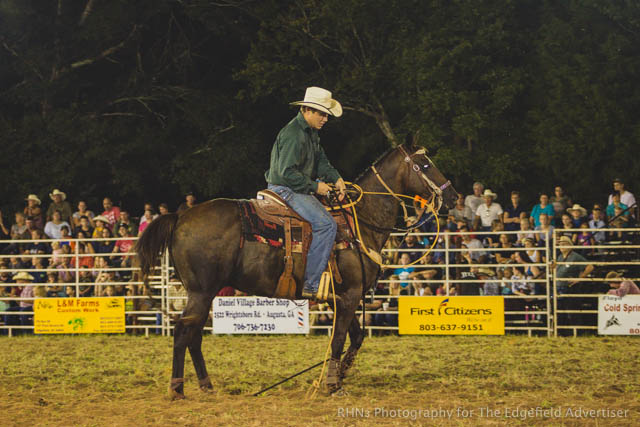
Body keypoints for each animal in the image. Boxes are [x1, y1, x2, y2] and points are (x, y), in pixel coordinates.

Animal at [135, 142, 458, 400]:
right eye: (425, 165)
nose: (454, 197)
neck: (360, 221)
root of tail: (180, 216)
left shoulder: (339, 298)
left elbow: (354, 338)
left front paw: (339, 375)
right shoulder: (350, 295)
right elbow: (339, 339)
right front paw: (332, 384)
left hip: (206, 294)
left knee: (194, 335)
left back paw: (206, 385)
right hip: (201, 292)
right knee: (182, 331)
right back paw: (177, 389)